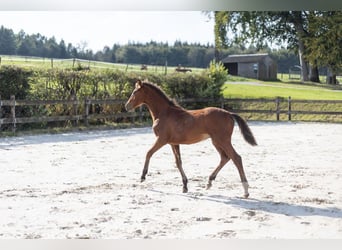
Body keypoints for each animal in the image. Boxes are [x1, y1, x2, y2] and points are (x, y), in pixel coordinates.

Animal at [125, 79, 256, 197]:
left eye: (135, 92)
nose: (126, 106)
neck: (164, 113)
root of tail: (229, 114)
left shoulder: (161, 140)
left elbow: (149, 153)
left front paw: (142, 177)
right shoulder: (173, 143)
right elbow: (178, 162)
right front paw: (185, 185)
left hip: (223, 140)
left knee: (236, 158)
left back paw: (245, 190)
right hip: (216, 141)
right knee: (225, 158)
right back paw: (209, 182)